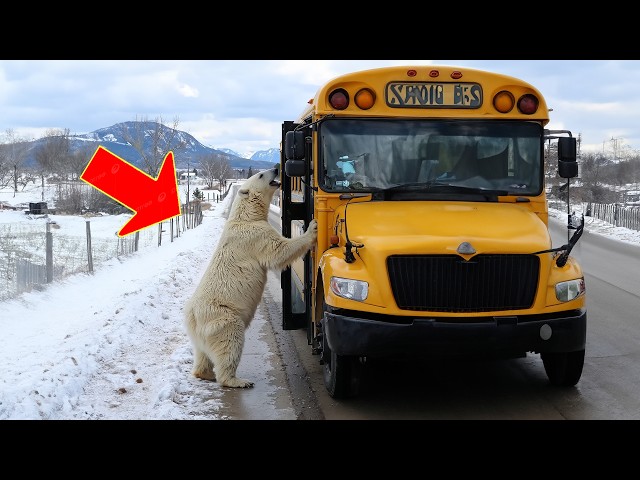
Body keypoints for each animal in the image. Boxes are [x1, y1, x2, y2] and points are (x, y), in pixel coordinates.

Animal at [182, 167, 318, 388]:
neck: (245, 216)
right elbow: (277, 251)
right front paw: (312, 228)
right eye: (262, 175)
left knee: (202, 353)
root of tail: (192, 318)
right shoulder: (254, 235)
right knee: (230, 341)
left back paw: (204, 373)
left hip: (200, 332)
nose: (276, 168)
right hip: (222, 316)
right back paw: (238, 380)